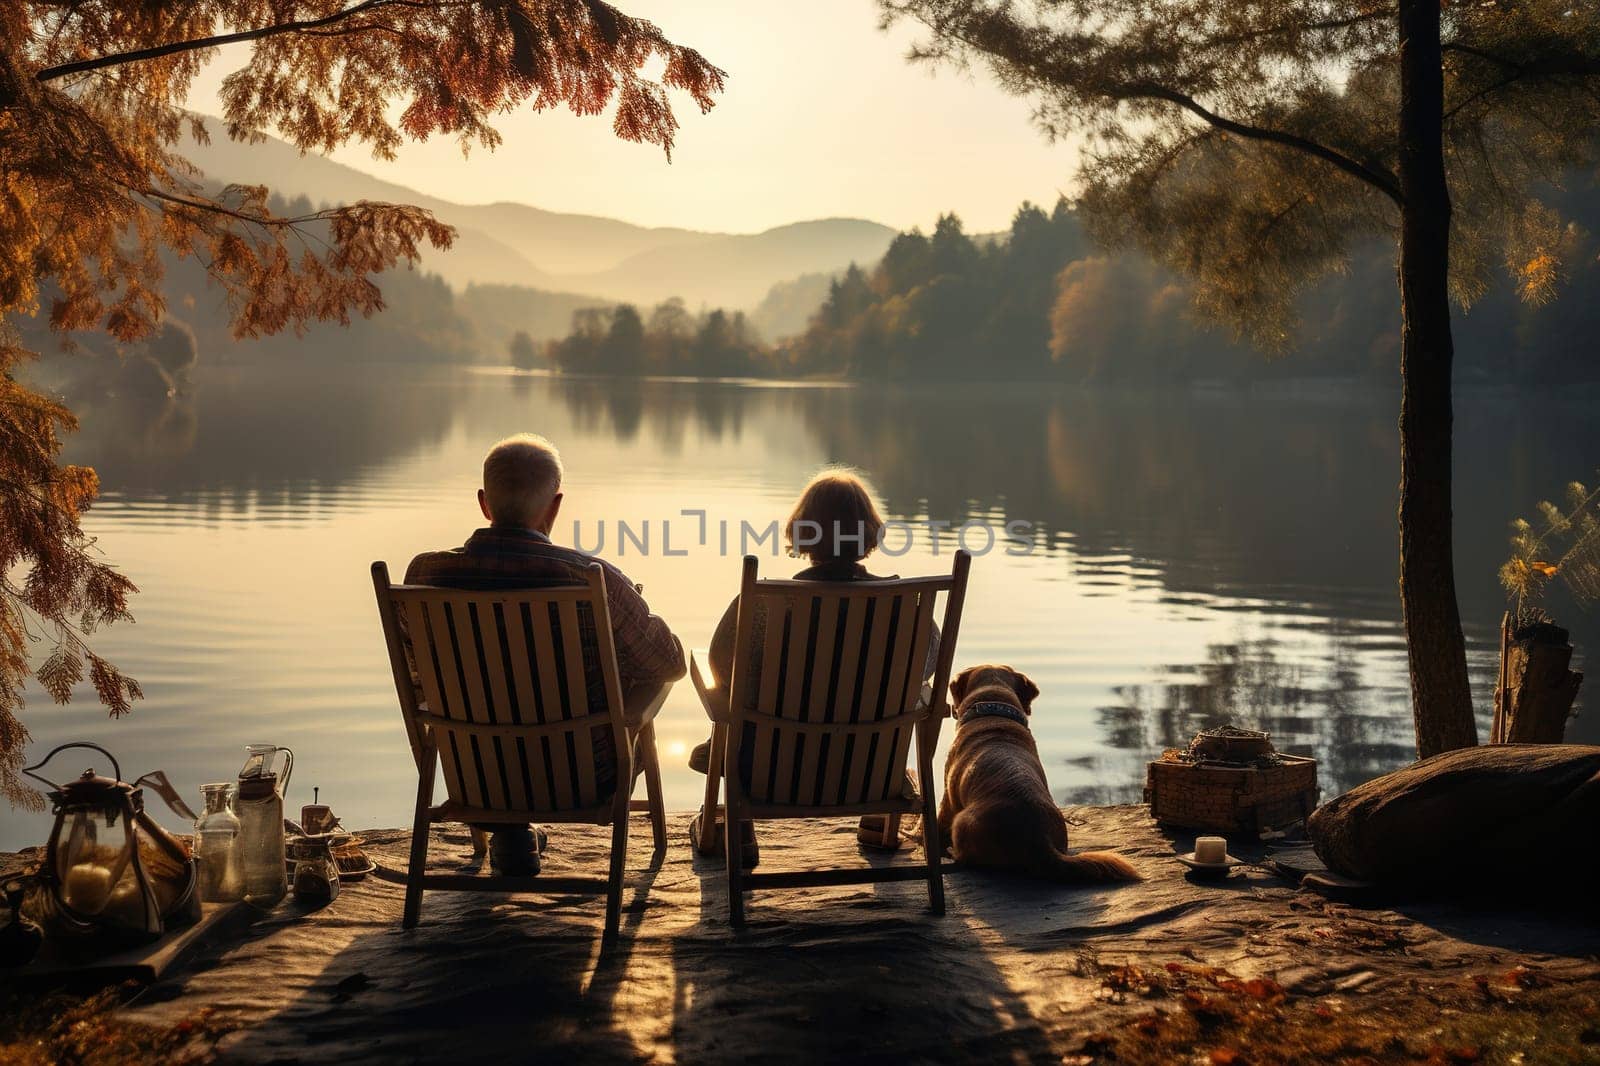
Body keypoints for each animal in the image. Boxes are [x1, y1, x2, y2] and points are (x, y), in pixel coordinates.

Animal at [934, 665, 1139, 877]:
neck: (994, 714)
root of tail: (1040, 842)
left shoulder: (948, 799)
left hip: (961, 821)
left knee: (966, 858)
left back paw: (953, 852)